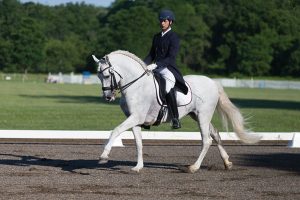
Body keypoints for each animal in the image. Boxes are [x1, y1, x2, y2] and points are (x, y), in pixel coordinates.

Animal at [92, 50, 260, 173]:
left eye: (106, 75)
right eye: (98, 76)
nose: (108, 97)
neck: (136, 85)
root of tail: (212, 82)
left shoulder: (135, 117)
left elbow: (115, 130)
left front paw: (104, 156)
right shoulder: (135, 120)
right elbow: (138, 143)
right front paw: (138, 167)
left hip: (203, 116)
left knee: (206, 140)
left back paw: (193, 167)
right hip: (197, 115)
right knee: (216, 135)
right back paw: (227, 163)